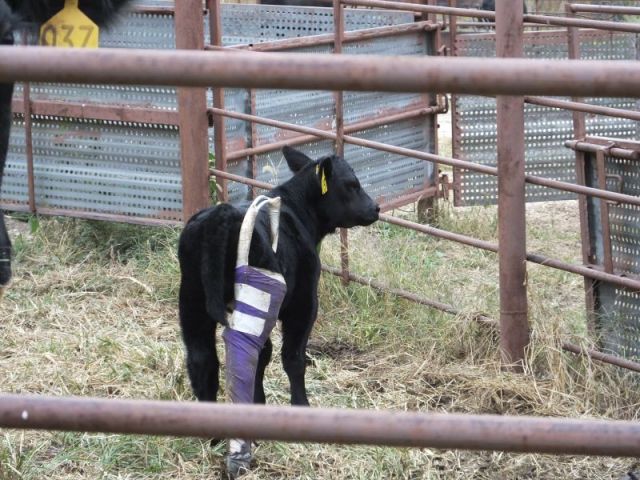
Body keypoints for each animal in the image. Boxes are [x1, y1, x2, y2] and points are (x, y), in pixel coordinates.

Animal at [178, 146, 379, 476]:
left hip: (192, 303)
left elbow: (265, 356)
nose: (376, 208)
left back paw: (212, 436)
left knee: (202, 361)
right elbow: (292, 358)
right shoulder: (303, 303)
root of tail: (220, 215)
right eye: (352, 184)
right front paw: (300, 407)